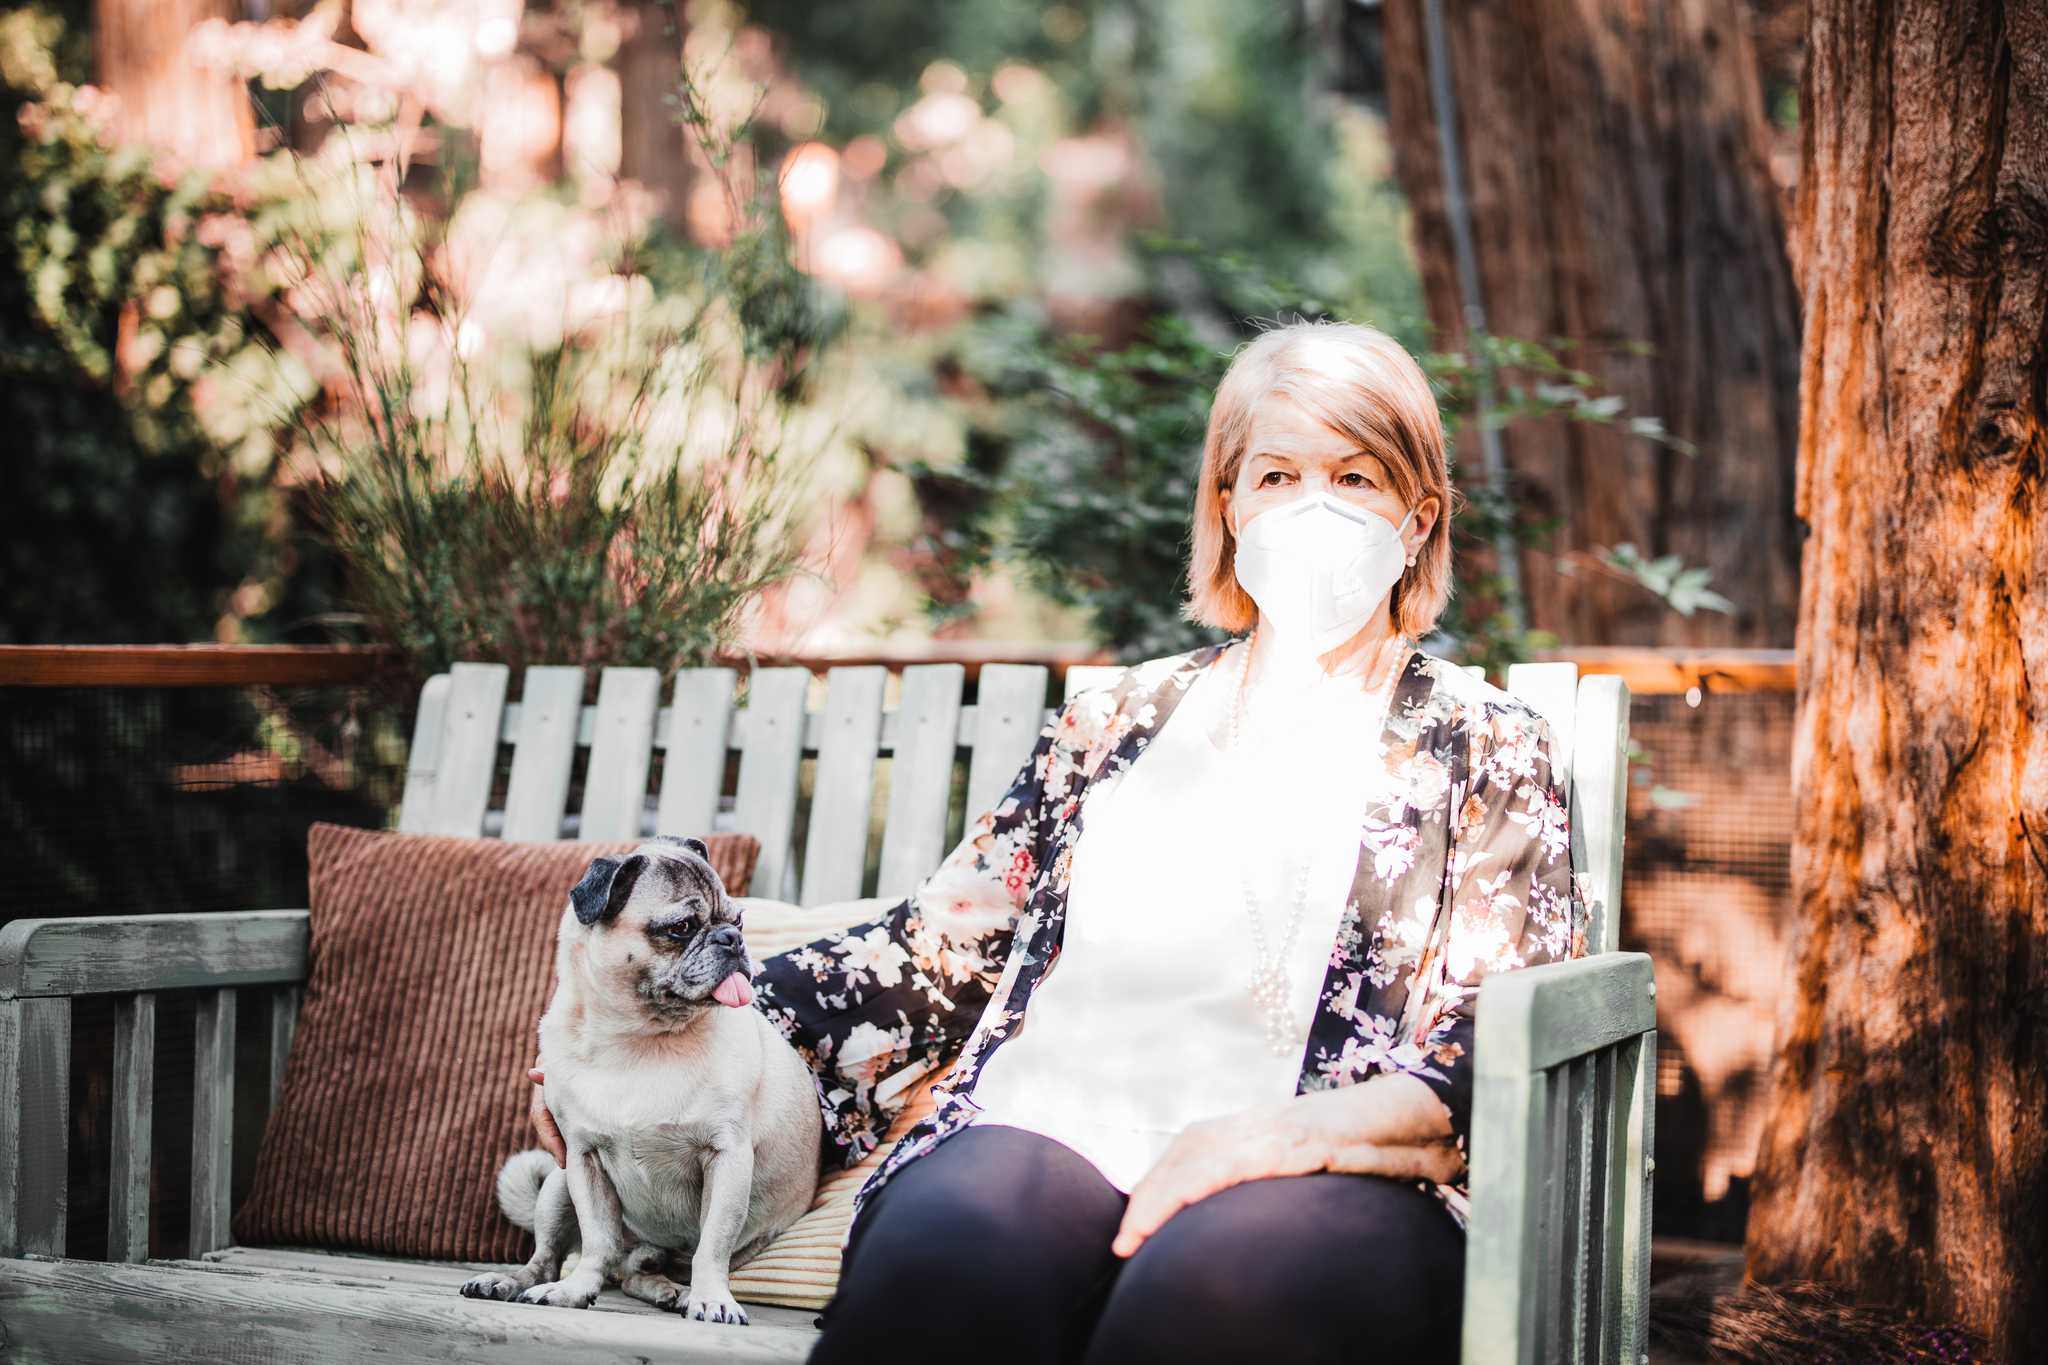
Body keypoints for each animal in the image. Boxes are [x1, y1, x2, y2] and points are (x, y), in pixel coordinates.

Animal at [460, 834, 819, 1326]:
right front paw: (574, 1291)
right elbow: (598, 1241)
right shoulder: (583, 1158)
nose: (732, 938)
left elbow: (713, 1244)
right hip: (557, 1185)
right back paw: (512, 1282)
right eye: (682, 927)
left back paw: (676, 1292)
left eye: (739, 918)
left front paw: (714, 1299)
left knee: (639, 1270)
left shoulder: (727, 1158)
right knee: (557, 1257)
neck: (639, 1040)